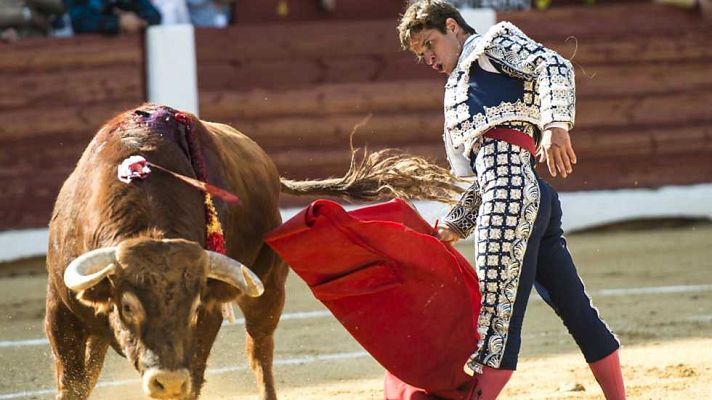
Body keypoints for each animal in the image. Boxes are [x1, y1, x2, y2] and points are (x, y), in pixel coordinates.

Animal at [47, 104, 464, 400]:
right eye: (127, 306)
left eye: (194, 308)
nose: (168, 380)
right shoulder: (61, 311)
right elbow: (73, 383)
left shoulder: (208, 318)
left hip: (269, 287)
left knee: (260, 351)